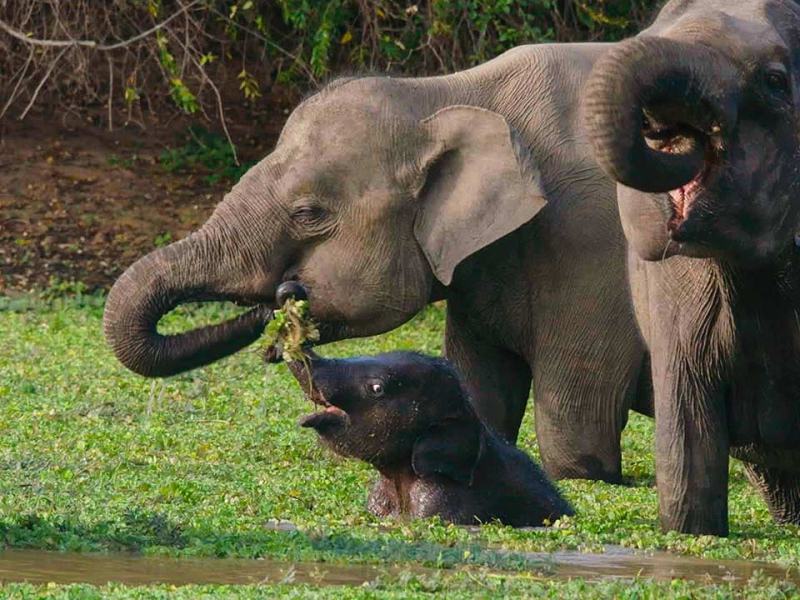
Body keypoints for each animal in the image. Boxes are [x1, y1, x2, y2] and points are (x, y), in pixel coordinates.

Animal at [104, 43, 648, 483]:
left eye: (308, 214)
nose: (287, 295)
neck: (445, 92)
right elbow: (480, 393)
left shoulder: (589, 244)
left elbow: (574, 436)